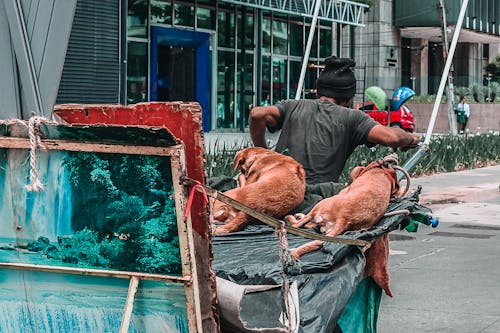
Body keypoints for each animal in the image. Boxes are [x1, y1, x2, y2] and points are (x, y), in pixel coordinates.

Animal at [286, 156, 402, 296]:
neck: (381, 172)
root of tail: (345, 219)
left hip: (320, 205)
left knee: (300, 224)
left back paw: (293, 217)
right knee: (311, 228)